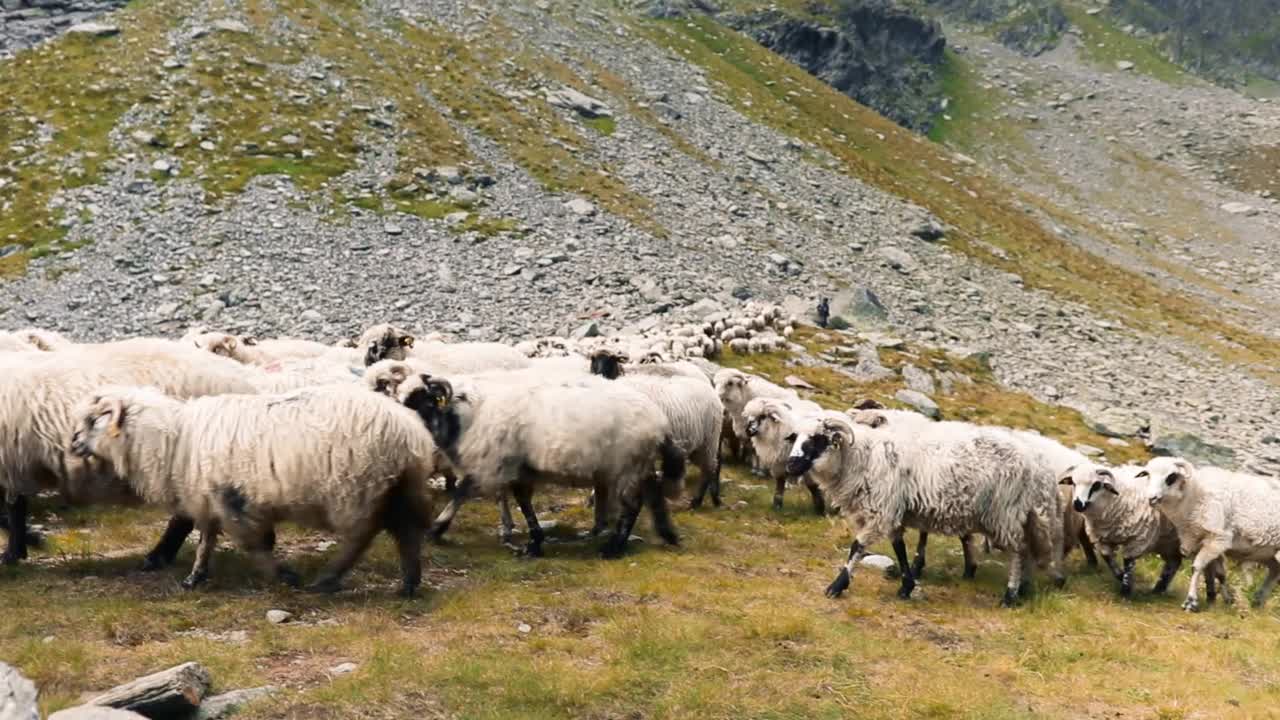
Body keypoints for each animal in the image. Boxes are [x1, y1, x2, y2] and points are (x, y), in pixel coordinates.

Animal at [0, 338, 261, 566]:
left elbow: (10, 511)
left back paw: (158, 557)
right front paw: (20, 549)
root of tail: (246, 381)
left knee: (186, 515)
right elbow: (15, 508)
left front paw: (20, 549)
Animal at [66, 381, 440, 594]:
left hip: (356, 486)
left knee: (363, 534)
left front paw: (284, 576)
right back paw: (409, 583)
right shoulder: (211, 498)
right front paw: (195, 578)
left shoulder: (234, 499)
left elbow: (254, 544)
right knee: (406, 530)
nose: (72, 444)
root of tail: (409, 431)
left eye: (93, 420)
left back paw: (328, 580)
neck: (175, 439)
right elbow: (206, 539)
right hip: (396, 485)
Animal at [394, 368, 686, 556]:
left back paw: (614, 547)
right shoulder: (515, 467)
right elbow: (520, 501)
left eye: (422, 401)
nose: (403, 426)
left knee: (633, 505)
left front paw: (437, 528)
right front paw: (533, 542)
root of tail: (660, 423)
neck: (467, 413)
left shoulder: (496, 463)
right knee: (653, 493)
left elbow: (465, 494)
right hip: (638, 465)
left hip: (627, 465)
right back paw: (666, 533)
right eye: (402, 399)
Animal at [783, 415, 1064, 604]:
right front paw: (906, 586)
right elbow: (899, 549)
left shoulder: (881, 510)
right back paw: (1023, 588)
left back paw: (1010, 594)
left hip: (1004, 513)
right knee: (1027, 549)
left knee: (1018, 551)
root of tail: (1038, 464)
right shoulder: (893, 512)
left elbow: (857, 548)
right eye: (795, 437)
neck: (860, 459)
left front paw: (837, 586)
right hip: (1016, 515)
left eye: (817, 439)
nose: (790, 465)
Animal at [1141, 456, 1280, 607]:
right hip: (1268, 553)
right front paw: (1221, 599)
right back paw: (1258, 601)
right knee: (1275, 570)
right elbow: (1217, 573)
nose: (1152, 498)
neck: (1193, 494)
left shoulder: (1218, 539)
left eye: (1171, 476)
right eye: (1147, 474)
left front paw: (1191, 601)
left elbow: (1197, 568)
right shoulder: (1199, 540)